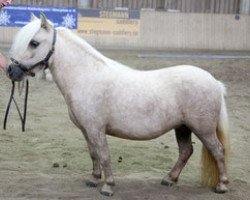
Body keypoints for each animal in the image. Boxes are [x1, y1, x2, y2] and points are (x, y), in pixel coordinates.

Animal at [7, 14, 230, 197]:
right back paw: (169, 179)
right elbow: (94, 154)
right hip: (182, 127)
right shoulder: (87, 130)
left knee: (218, 151)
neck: (85, 77)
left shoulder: (96, 129)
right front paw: (93, 179)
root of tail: (214, 82)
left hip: (203, 129)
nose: (11, 71)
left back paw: (222, 186)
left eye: (34, 43)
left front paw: (108, 187)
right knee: (185, 152)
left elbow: (104, 155)